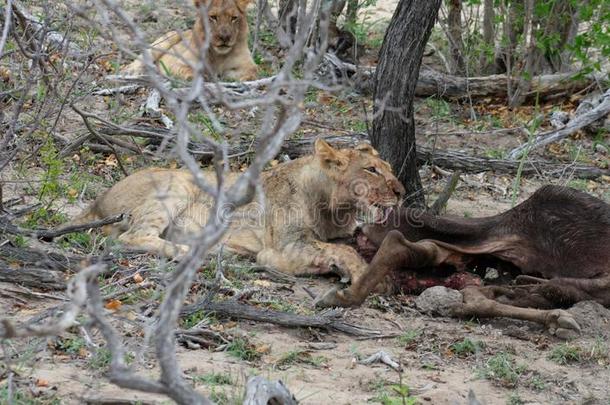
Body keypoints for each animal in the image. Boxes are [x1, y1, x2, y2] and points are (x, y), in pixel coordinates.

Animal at [70, 140, 404, 282]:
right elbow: (346, 252)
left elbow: (345, 247)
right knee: (129, 238)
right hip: (177, 185)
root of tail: (96, 203)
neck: (336, 210)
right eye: (372, 170)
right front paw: (364, 275)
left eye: (389, 168)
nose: (401, 192)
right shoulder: (288, 244)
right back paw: (187, 251)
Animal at [123, 0, 256, 81]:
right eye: (213, 17)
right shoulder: (177, 63)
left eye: (234, 18)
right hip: (166, 40)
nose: (225, 37)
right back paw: (131, 71)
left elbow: (252, 72)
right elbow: (190, 70)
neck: (219, 55)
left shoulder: (248, 64)